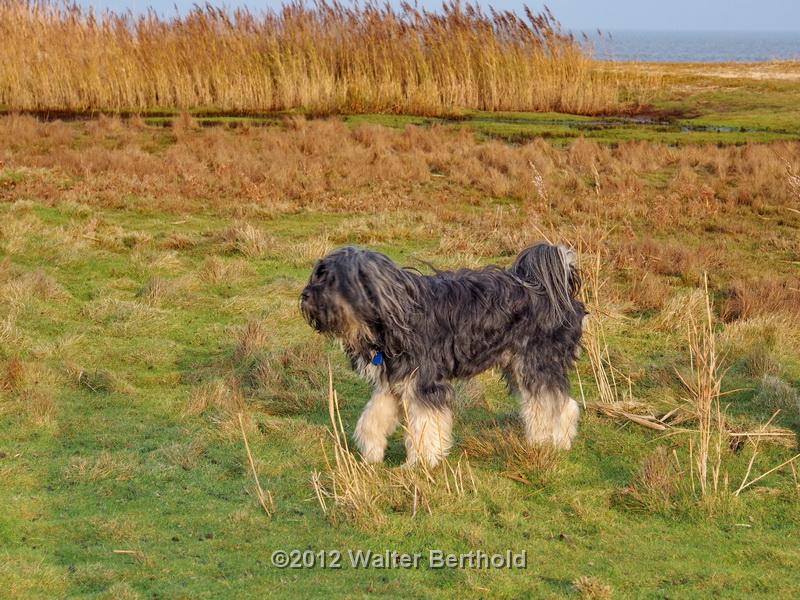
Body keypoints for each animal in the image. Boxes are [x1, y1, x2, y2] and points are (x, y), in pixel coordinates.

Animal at [300, 241, 588, 466]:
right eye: (317, 274)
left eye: (332, 279)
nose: (304, 297)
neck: (392, 313)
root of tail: (555, 290)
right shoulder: (394, 382)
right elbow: (373, 418)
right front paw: (371, 451)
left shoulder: (424, 383)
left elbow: (425, 425)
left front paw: (420, 463)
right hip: (519, 365)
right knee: (555, 402)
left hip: (537, 362)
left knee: (554, 404)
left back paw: (550, 442)